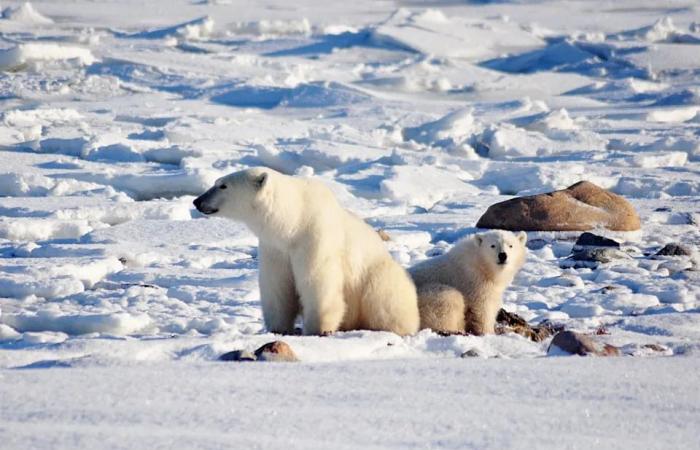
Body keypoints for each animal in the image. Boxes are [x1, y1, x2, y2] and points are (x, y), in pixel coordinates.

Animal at [193, 167, 419, 336]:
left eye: (223, 185)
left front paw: (318, 329)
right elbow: (277, 286)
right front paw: (278, 328)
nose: (197, 201)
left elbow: (317, 282)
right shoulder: (275, 248)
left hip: (377, 277)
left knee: (385, 300)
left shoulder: (314, 239)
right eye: (217, 182)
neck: (294, 221)